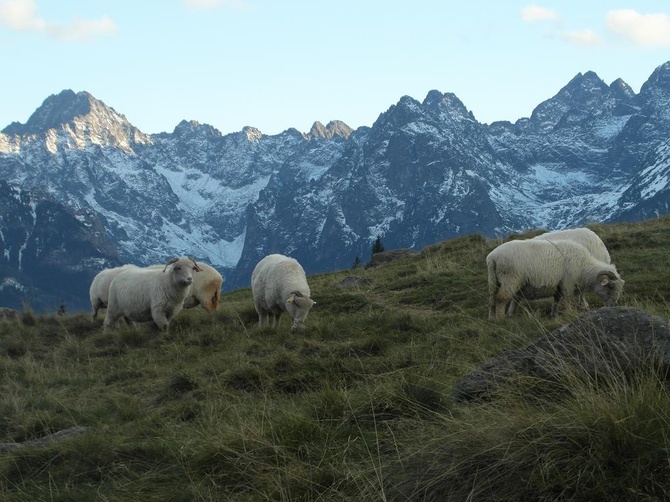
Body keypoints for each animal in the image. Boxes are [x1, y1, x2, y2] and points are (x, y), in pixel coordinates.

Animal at [488, 237, 624, 320]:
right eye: (610, 286)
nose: (613, 305)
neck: (584, 267)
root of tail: (493, 257)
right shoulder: (568, 284)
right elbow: (567, 300)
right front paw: (570, 313)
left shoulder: (559, 285)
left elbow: (557, 300)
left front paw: (554, 314)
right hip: (510, 279)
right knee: (501, 298)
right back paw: (501, 319)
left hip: (494, 281)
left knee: (493, 298)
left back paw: (494, 317)